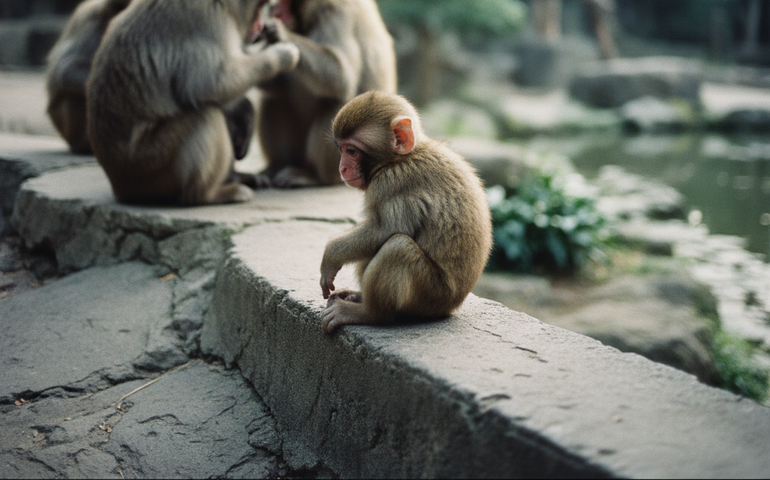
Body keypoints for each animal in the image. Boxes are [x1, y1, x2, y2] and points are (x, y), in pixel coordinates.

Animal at [86, 0, 300, 205]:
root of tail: (119, 186)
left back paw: (235, 177)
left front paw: (245, 111)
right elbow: (208, 85)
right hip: (148, 165)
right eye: (260, 6)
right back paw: (209, 195)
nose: (260, 24)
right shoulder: (210, 21)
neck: (225, 4)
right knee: (206, 116)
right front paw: (282, 55)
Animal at [252, 0, 397, 188]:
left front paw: (281, 33)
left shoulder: (338, 15)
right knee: (273, 100)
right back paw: (276, 166)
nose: (276, 9)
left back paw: (313, 176)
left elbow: (342, 76)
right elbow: (276, 83)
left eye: (284, 2)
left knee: (336, 103)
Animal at [319, 91, 493, 333]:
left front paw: (331, 254)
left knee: (398, 247)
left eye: (351, 151)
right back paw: (358, 298)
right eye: (341, 149)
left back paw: (369, 313)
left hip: (430, 296)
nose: (342, 168)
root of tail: (452, 306)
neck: (401, 158)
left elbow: (384, 229)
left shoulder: (390, 182)